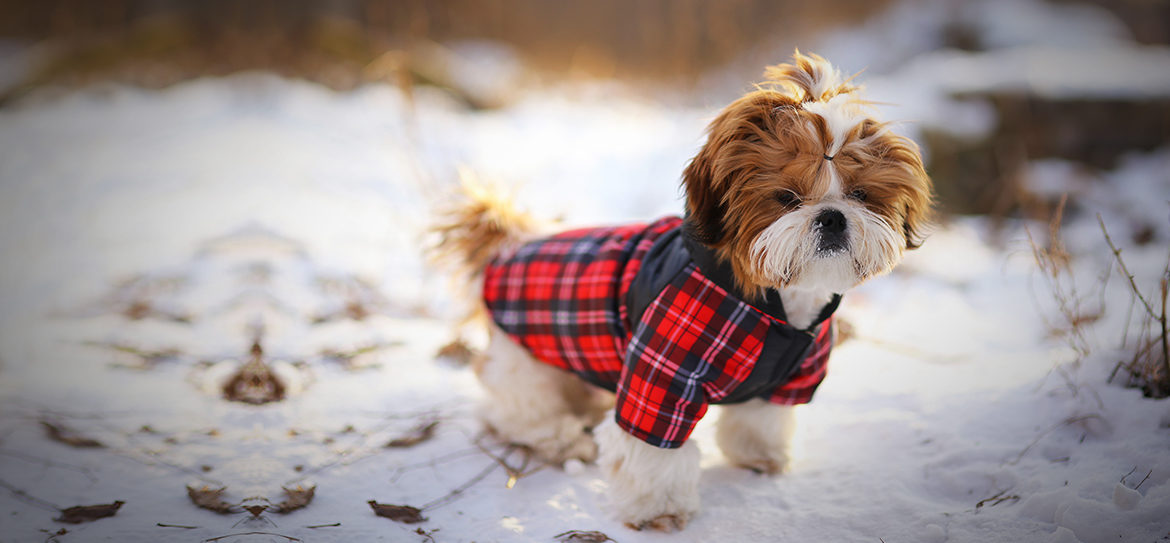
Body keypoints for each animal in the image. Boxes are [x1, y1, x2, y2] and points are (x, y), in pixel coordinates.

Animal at [430, 50, 931, 531]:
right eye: (786, 197)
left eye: (861, 195)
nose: (832, 217)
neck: (772, 307)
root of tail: (508, 248)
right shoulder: (660, 377)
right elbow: (653, 453)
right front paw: (659, 510)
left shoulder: (787, 378)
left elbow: (760, 419)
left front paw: (759, 456)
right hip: (526, 363)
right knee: (514, 412)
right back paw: (560, 438)